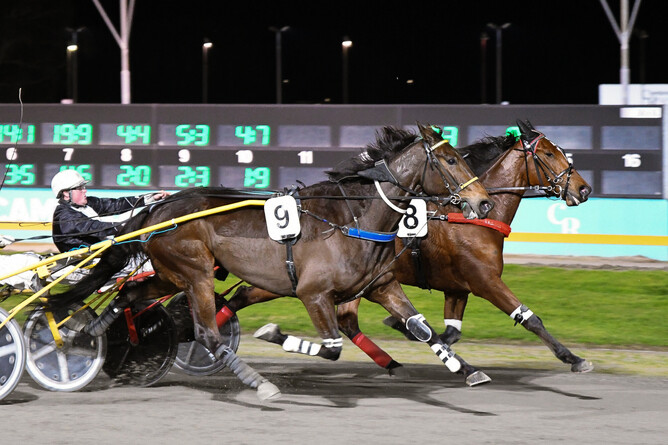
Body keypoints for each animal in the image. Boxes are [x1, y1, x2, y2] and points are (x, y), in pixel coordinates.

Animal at [46, 123, 494, 399]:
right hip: (195, 274)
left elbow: (422, 328)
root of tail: (159, 209)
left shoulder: (381, 286)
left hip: (173, 275)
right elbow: (331, 348)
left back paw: (84, 330)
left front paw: (468, 370)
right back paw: (258, 382)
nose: (484, 202)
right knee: (206, 333)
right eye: (452, 160)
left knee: (132, 293)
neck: (353, 218)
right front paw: (273, 333)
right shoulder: (314, 294)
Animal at [221, 119, 594, 377]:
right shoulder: (484, 281)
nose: (584, 189)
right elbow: (530, 319)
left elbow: (448, 332)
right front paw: (574, 359)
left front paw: (411, 332)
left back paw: (391, 363)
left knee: (332, 317)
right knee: (244, 297)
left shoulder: (457, 288)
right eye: (549, 153)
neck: (467, 218)